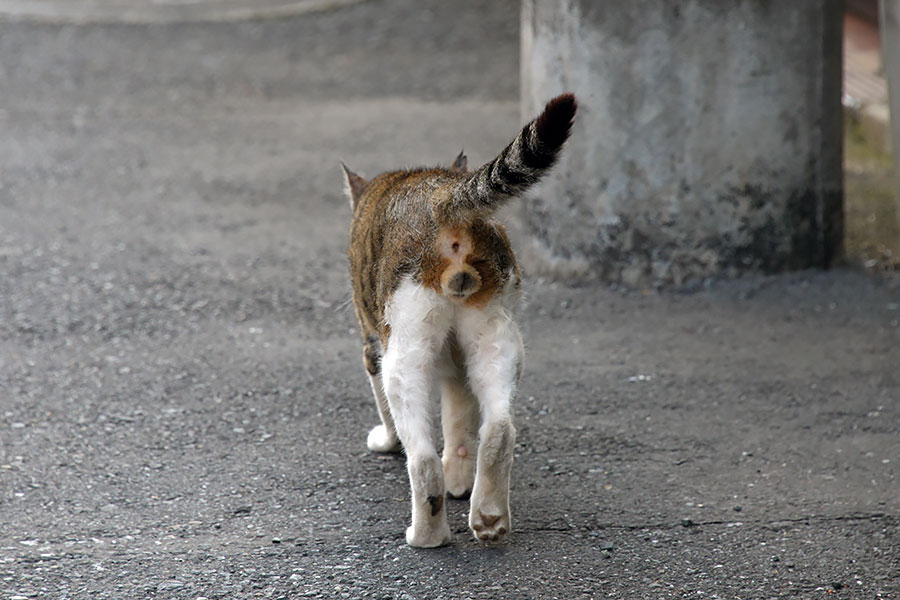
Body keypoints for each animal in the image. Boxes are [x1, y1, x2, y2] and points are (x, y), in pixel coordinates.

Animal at [344, 91, 576, 548]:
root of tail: (443, 197)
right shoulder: (455, 360)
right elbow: (458, 417)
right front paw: (459, 477)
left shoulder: (371, 342)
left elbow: (387, 407)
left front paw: (386, 441)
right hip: (496, 334)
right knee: (499, 428)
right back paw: (488, 516)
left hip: (405, 350)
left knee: (422, 457)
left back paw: (427, 534)